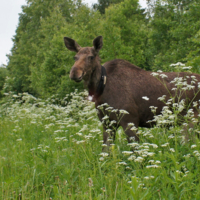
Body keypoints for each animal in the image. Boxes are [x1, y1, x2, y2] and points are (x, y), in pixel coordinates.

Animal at [63, 35, 200, 147]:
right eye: (75, 57)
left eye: (91, 57)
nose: (74, 73)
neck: (101, 89)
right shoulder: (107, 123)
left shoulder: (130, 120)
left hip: (190, 118)